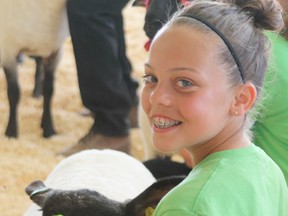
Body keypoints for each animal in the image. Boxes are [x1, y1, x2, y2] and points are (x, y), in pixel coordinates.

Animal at [0, 0, 69, 138]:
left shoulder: (55, 52)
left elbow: (49, 90)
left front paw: (48, 128)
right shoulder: (7, 52)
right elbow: (13, 93)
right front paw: (11, 132)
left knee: (38, 68)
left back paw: (37, 93)